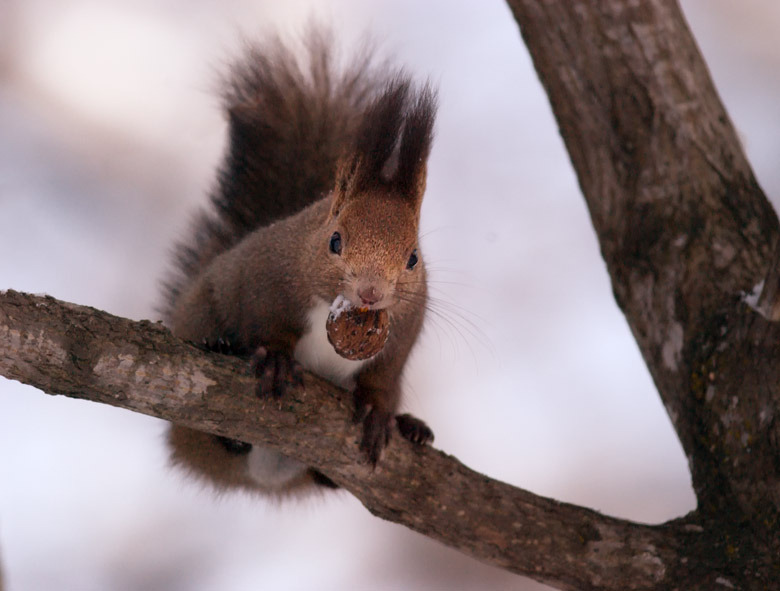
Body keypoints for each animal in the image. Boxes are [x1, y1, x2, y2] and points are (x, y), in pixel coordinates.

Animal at [158, 31, 438, 494]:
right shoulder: (267, 277)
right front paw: (275, 360)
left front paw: (378, 409)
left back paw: (410, 427)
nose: (371, 292)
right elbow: (269, 323)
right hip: (200, 316)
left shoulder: (405, 326)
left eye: (413, 258)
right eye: (335, 241)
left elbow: (384, 374)